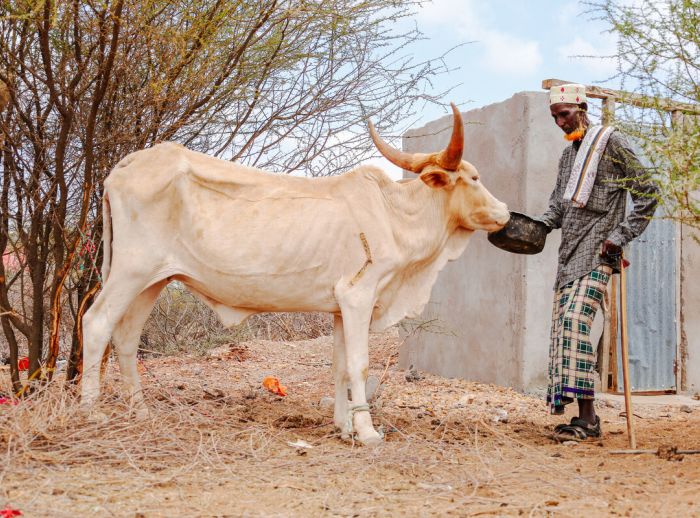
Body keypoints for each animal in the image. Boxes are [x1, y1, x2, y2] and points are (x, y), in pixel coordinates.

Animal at [82, 105, 508, 446]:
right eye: (473, 177)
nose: (504, 212)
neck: (395, 214)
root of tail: (126, 165)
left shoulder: (339, 308)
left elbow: (340, 366)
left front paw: (343, 428)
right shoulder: (359, 296)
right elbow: (359, 364)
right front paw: (367, 432)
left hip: (153, 280)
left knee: (126, 336)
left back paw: (140, 412)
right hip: (130, 271)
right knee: (96, 322)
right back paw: (91, 411)